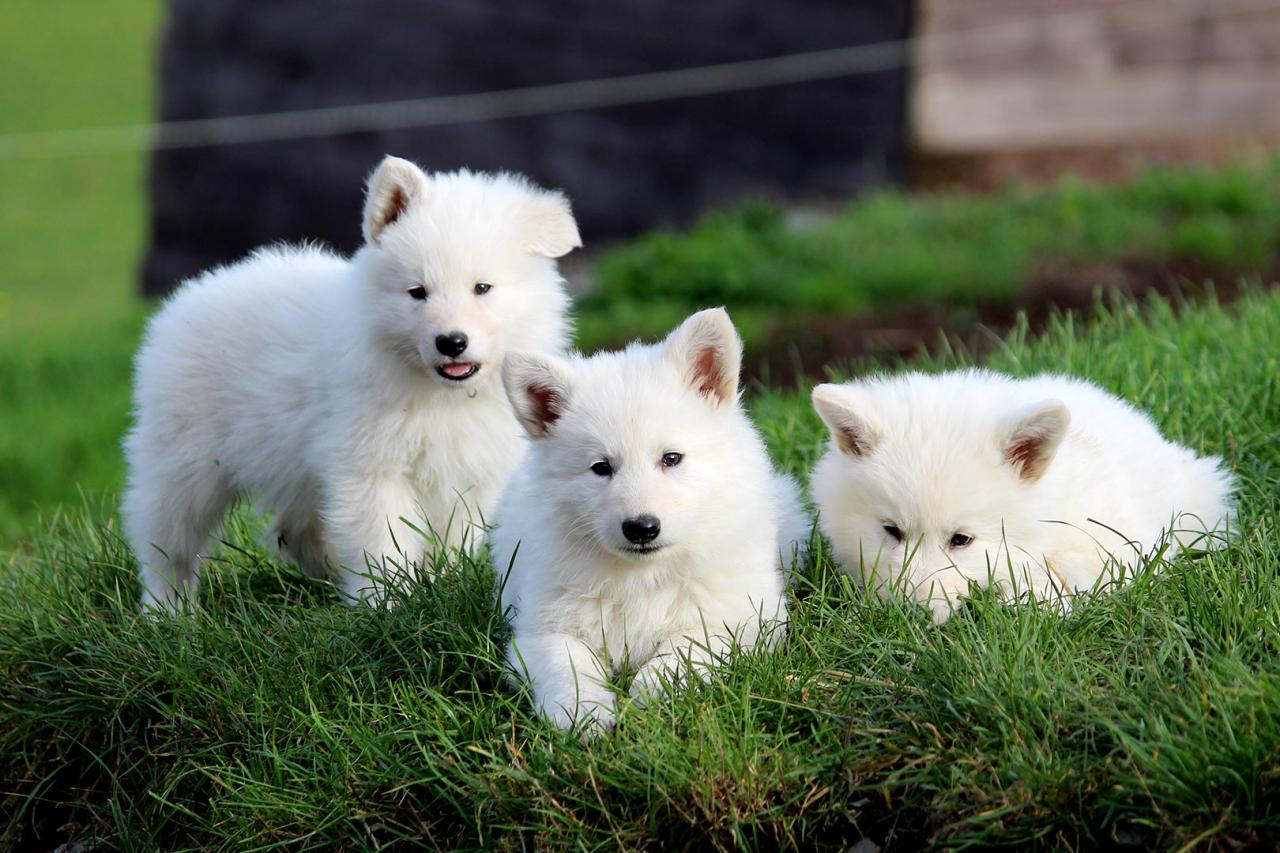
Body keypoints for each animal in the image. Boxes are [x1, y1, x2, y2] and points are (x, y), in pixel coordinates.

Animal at [122, 156, 583, 607]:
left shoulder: (469, 470)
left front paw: (444, 583)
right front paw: (388, 603)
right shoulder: (369, 465)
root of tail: (190, 294)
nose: (451, 342)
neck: (438, 393)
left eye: (482, 287)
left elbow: (454, 538)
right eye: (418, 292)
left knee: (291, 529)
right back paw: (167, 611)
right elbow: (382, 540)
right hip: (185, 460)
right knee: (165, 541)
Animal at [488, 307, 798, 732]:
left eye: (671, 458)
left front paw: (651, 699)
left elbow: (683, 651)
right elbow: (565, 665)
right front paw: (584, 712)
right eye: (601, 468)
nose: (641, 528)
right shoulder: (541, 628)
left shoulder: (740, 619)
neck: (643, 576)